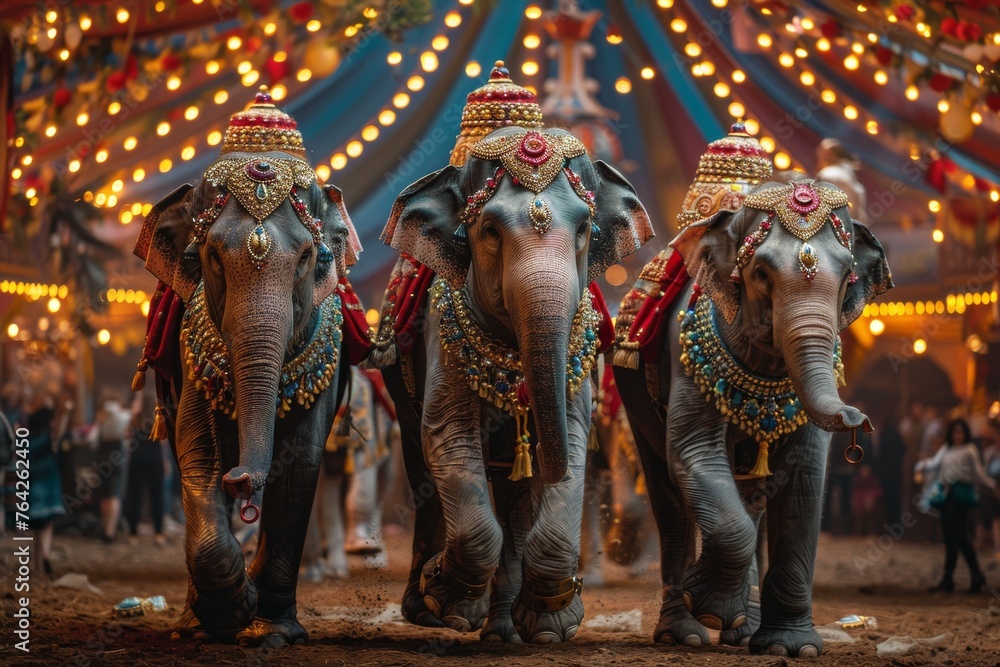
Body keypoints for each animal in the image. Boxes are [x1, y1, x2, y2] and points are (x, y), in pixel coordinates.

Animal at [132, 90, 368, 646]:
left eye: (308, 258)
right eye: (212, 257)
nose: (241, 478)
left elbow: (300, 463)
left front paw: (269, 631)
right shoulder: (189, 352)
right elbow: (197, 450)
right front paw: (230, 613)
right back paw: (192, 624)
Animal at [373, 124, 653, 644]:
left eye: (584, 230)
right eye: (489, 231)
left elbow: (571, 437)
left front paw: (551, 625)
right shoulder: (439, 333)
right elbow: (448, 435)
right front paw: (448, 600)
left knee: (514, 495)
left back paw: (505, 631)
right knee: (421, 465)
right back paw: (428, 610)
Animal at [613, 178, 892, 656]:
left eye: (847, 278)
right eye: (761, 274)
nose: (859, 420)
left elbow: (805, 476)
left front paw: (792, 648)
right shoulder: (684, 351)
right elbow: (693, 452)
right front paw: (706, 607)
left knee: (754, 500)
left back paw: (744, 629)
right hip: (631, 387)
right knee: (669, 494)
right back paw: (686, 632)